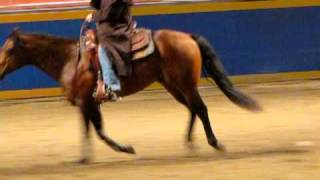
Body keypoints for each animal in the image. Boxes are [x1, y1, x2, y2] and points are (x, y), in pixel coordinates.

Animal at [0, 28, 260, 163]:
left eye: (9, 49)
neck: (71, 60)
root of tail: (188, 37)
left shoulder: (85, 102)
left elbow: (95, 131)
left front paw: (110, 152)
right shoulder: (90, 104)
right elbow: (97, 130)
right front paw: (118, 150)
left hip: (185, 85)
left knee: (201, 108)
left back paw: (214, 143)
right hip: (174, 86)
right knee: (193, 109)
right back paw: (189, 143)